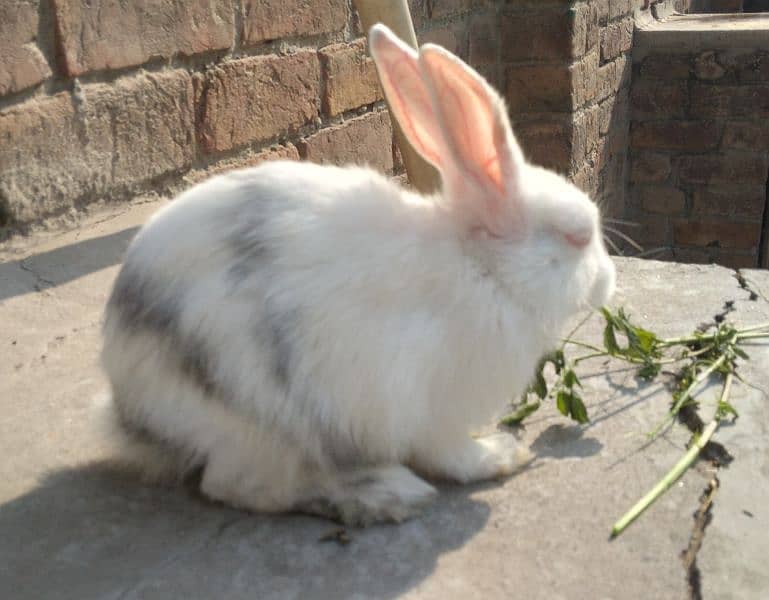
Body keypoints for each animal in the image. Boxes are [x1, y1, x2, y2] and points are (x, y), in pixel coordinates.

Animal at [102, 23, 616, 524]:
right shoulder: (435, 408)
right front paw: (500, 455)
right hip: (254, 419)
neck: (483, 268)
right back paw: (383, 495)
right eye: (577, 236)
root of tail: (127, 406)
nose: (607, 280)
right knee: (242, 486)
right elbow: (452, 455)